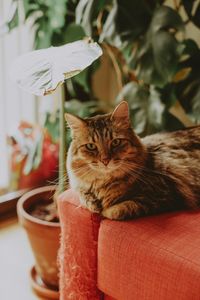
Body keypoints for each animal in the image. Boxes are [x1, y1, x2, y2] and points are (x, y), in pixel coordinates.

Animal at [65, 101, 200, 220]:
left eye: (116, 142)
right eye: (91, 146)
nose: (105, 160)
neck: (105, 184)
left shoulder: (164, 196)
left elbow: (118, 210)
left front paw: (104, 210)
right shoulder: (80, 187)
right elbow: (83, 197)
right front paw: (93, 204)